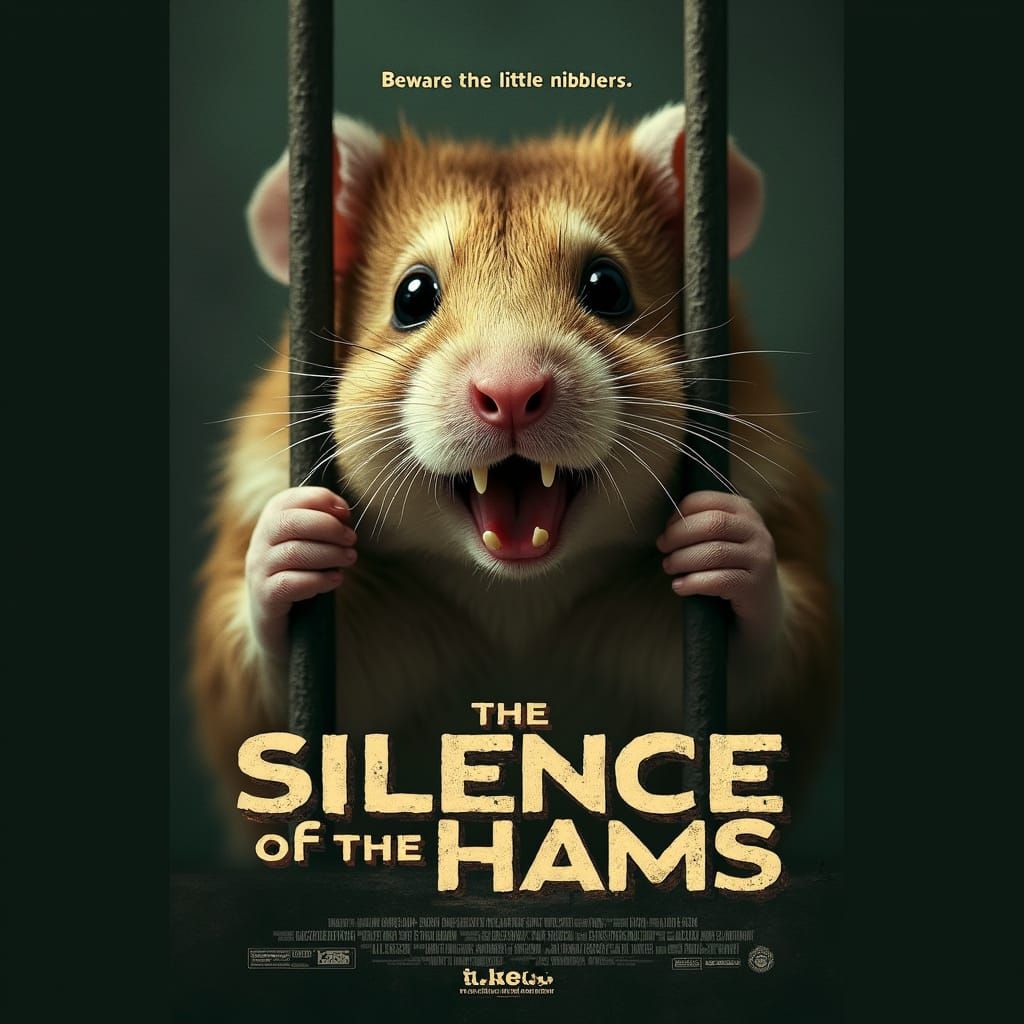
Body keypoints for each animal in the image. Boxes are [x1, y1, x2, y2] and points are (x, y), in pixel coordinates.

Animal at [191, 103, 838, 822]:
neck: (516, 599)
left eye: (607, 287)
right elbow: (259, 713)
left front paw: (724, 540)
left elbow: (774, 684)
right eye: (412, 296)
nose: (509, 395)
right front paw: (293, 537)